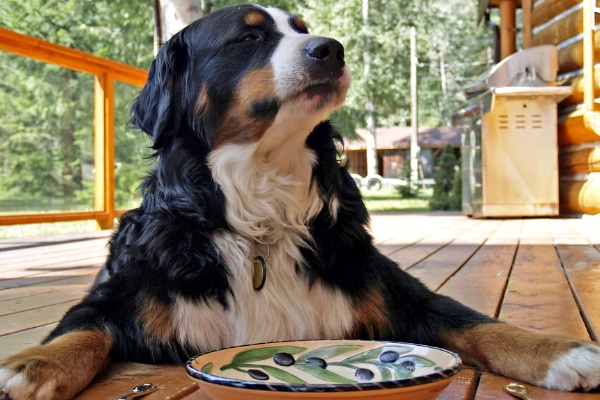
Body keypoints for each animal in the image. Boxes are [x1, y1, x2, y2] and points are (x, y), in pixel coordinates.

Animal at [1, 3, 600, 400]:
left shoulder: (392, 289)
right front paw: (29, 366)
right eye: (247, 40)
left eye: (304, 30)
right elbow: (80, 331)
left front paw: (562, 352)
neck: (260, 207)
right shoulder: (119, 295)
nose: (331, 49)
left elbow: (477, 322)